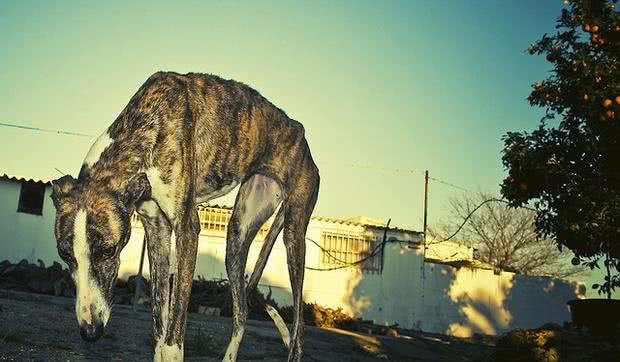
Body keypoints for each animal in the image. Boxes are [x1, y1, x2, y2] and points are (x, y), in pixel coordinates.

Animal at [50, 71, 320, 362]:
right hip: (236, 238)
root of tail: (299, 132)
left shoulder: (187, 228)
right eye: (65, 255)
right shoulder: (156, 228)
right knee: (242, 314)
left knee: (299, 328)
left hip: (294, 237)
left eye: (109, 251)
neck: (142, 128)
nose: (90, 331)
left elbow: (174, 327)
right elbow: (159, 324)